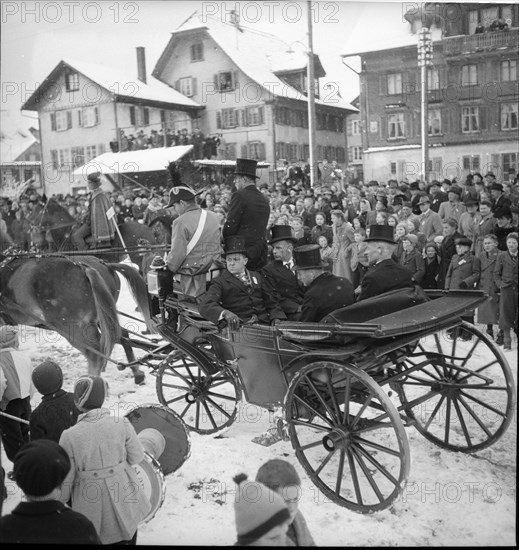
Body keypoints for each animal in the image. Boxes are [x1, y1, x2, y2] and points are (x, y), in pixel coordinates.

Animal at [0, 254, 156, 384]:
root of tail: (83, 267)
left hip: (68, 325)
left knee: (94, 351)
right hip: (97, 319)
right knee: (116, 337)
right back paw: (135, 373)